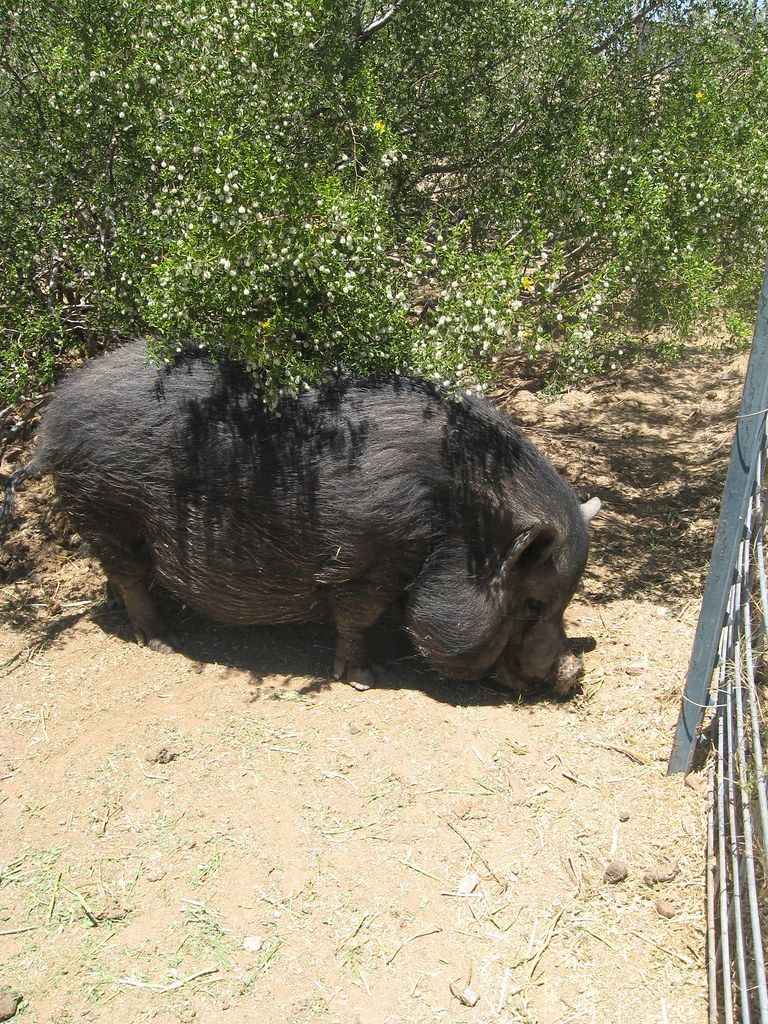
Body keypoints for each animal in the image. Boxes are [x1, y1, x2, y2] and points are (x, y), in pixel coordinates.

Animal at [2, 340, 600, 696]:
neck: (462, 525)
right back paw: (163, 639)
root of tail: (51, 421)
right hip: (105, 506)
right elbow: (358, 616)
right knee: (128, 573)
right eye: (533, 603)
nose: (574, 674)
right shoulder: (370, 559)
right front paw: (366, 678)